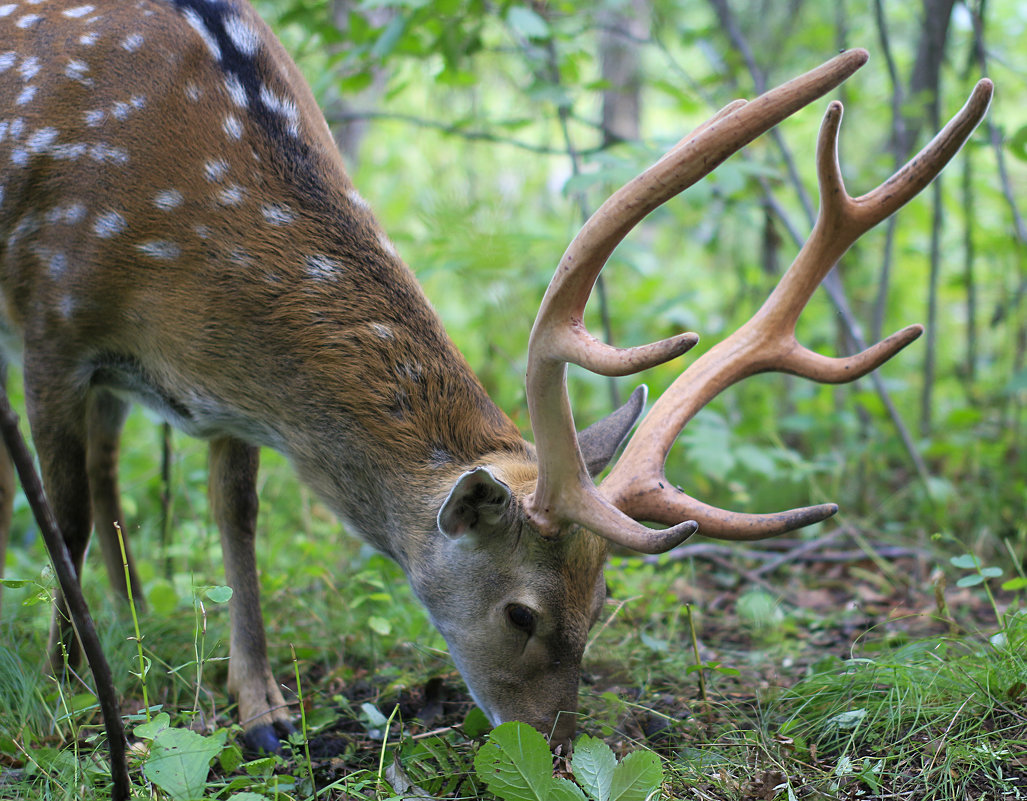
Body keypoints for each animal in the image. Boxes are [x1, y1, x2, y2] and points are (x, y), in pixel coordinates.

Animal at [0, 0, 990, 755]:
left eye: (602, 602)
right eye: (521, 614)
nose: (552, 747)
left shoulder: (219, 401)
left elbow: (234, 522)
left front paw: (263, 712)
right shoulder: (52, 321)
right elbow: (62, 516)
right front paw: (60, 695)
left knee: (110, 463)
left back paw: (132, 621)